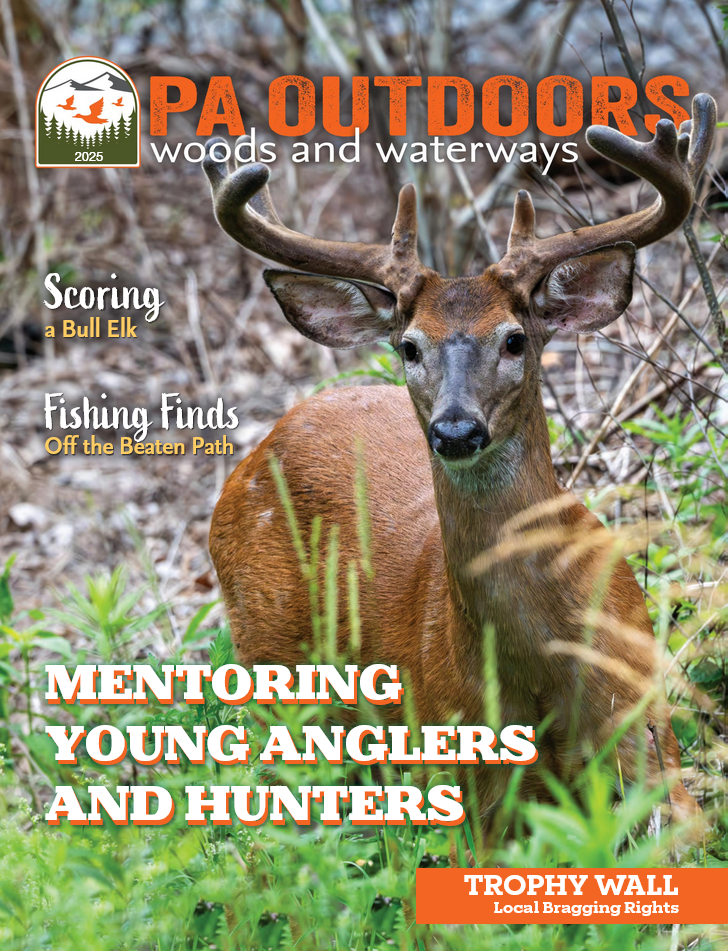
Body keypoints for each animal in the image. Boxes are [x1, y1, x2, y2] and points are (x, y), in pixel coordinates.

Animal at [202, 94, 716, 830]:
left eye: (515, 338)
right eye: (410, 345)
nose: (456, 428)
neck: (545, 676)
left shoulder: (655, 745)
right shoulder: (466, 776)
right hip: (267, 664)